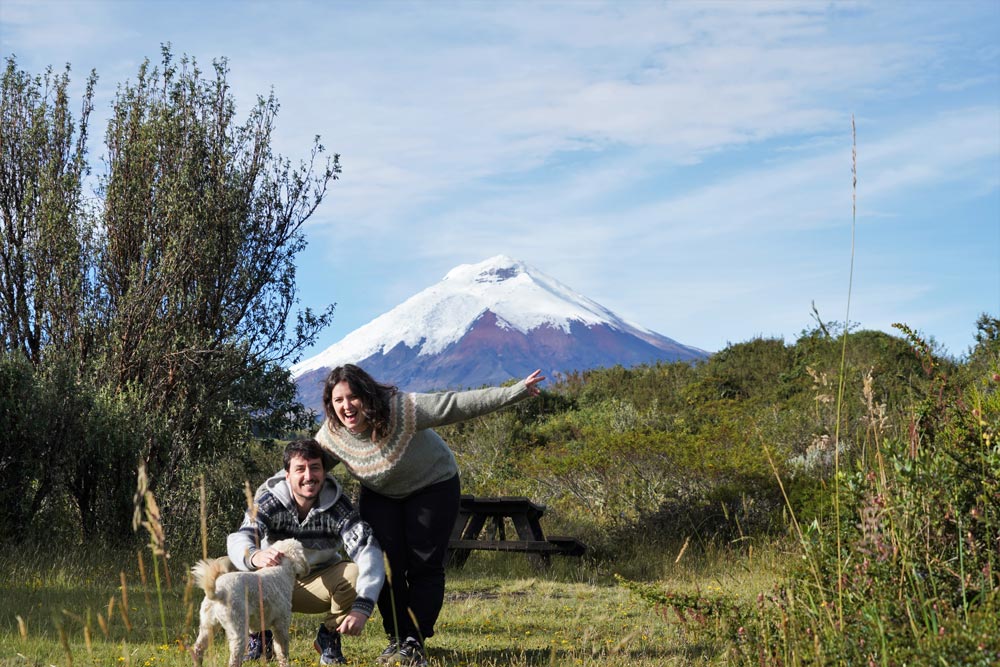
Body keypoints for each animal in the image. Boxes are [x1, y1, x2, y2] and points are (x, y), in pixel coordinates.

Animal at [190, 536, 308, 667]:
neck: (280, 570)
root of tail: (219, 592)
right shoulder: (281, 625)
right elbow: (282, 651)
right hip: (238, 630)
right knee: (234, 660)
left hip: (208, 626)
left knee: (198, 649)